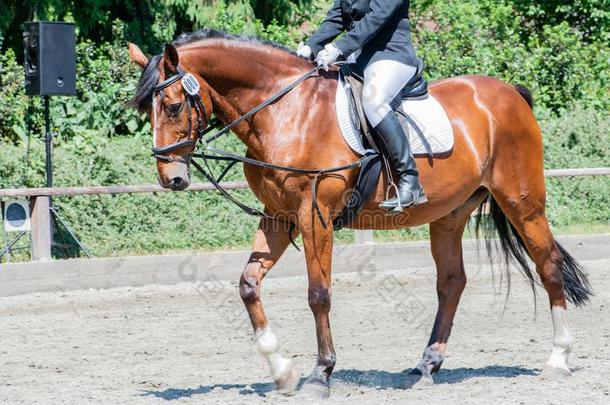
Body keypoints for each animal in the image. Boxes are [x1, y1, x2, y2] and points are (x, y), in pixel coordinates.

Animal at [128, 29, 588, 398]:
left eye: (172, 106)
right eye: (146, 111)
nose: (171, 178)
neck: (284, 113)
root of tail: (510, 93)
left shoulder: (314, 216)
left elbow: (318, 295)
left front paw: (320, 374)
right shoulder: (278, 216)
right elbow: (247, 284)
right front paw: (281, 371)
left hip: (522, 201)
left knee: (548, 264)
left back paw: (558, 359)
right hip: (450, 214)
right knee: (452, 282)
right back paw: (427, 364)